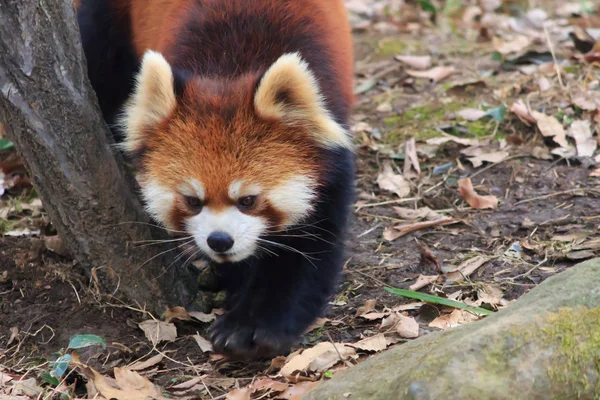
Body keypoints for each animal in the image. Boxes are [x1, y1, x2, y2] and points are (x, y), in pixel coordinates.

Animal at [77, 0, 354, 358]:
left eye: (248, 200)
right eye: (192, 201)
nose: (219, 241)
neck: (229, 70)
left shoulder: (329, 165)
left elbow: (306, 250)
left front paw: (254, 325)